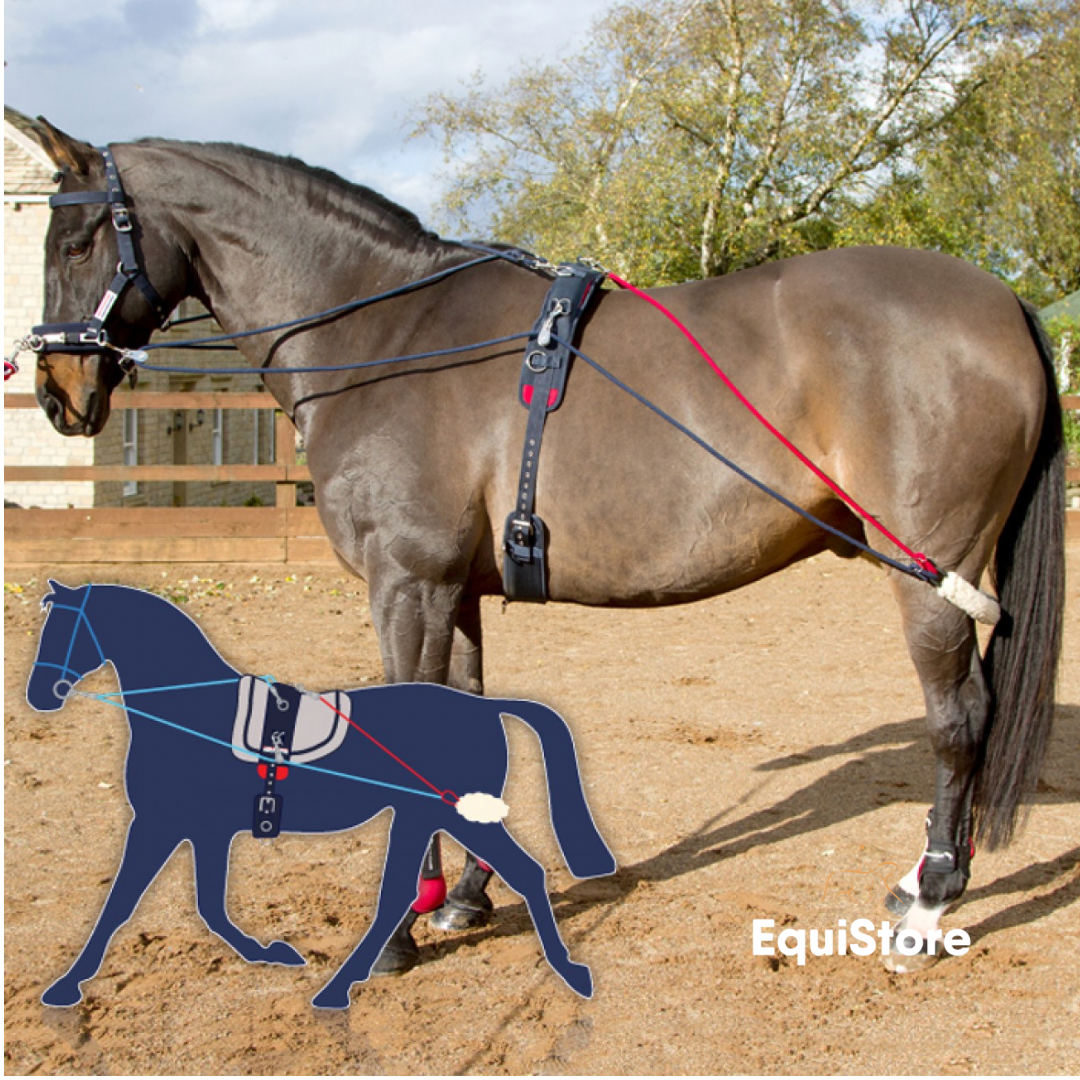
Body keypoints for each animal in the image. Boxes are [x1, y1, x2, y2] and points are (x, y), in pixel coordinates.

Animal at [25, 580, 615, 1008]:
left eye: (63, 630)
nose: (38, 696)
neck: (188, 711)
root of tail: (484, 708)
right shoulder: (201, 830)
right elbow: (208, 906)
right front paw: (272, 952)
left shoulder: (159, 824)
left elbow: (121, 907)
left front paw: (64, 986)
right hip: (426, 817)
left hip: (455, 817)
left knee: (516, 874)